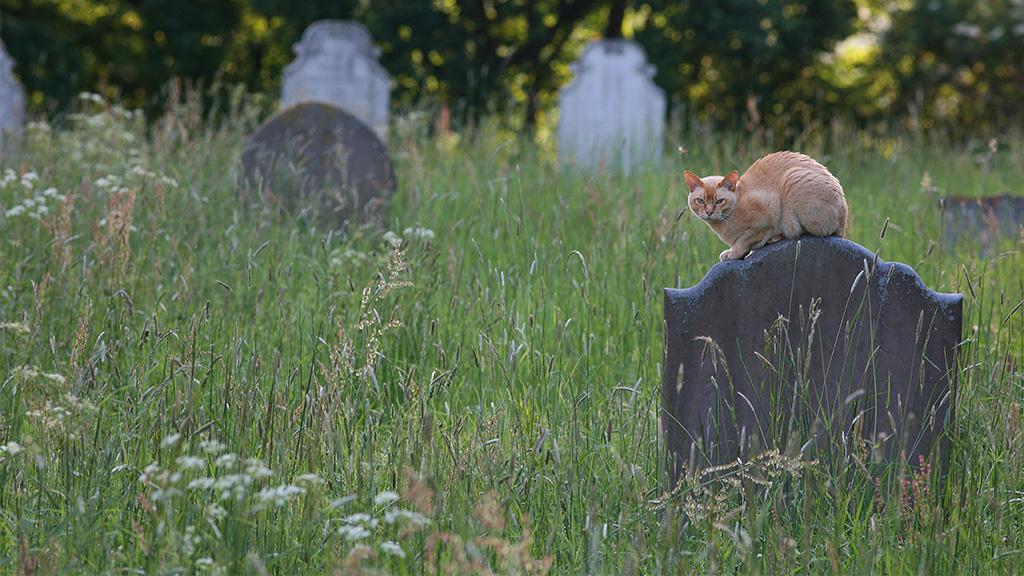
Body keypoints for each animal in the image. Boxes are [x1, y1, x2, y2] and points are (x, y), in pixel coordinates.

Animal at [684, 151, 843, 261]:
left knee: (804, 232)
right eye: (700, 201)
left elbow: (742, 242)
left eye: (719, 201)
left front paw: (732, 253)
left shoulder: (762, 223)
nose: (709, 212)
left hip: (792, 179)